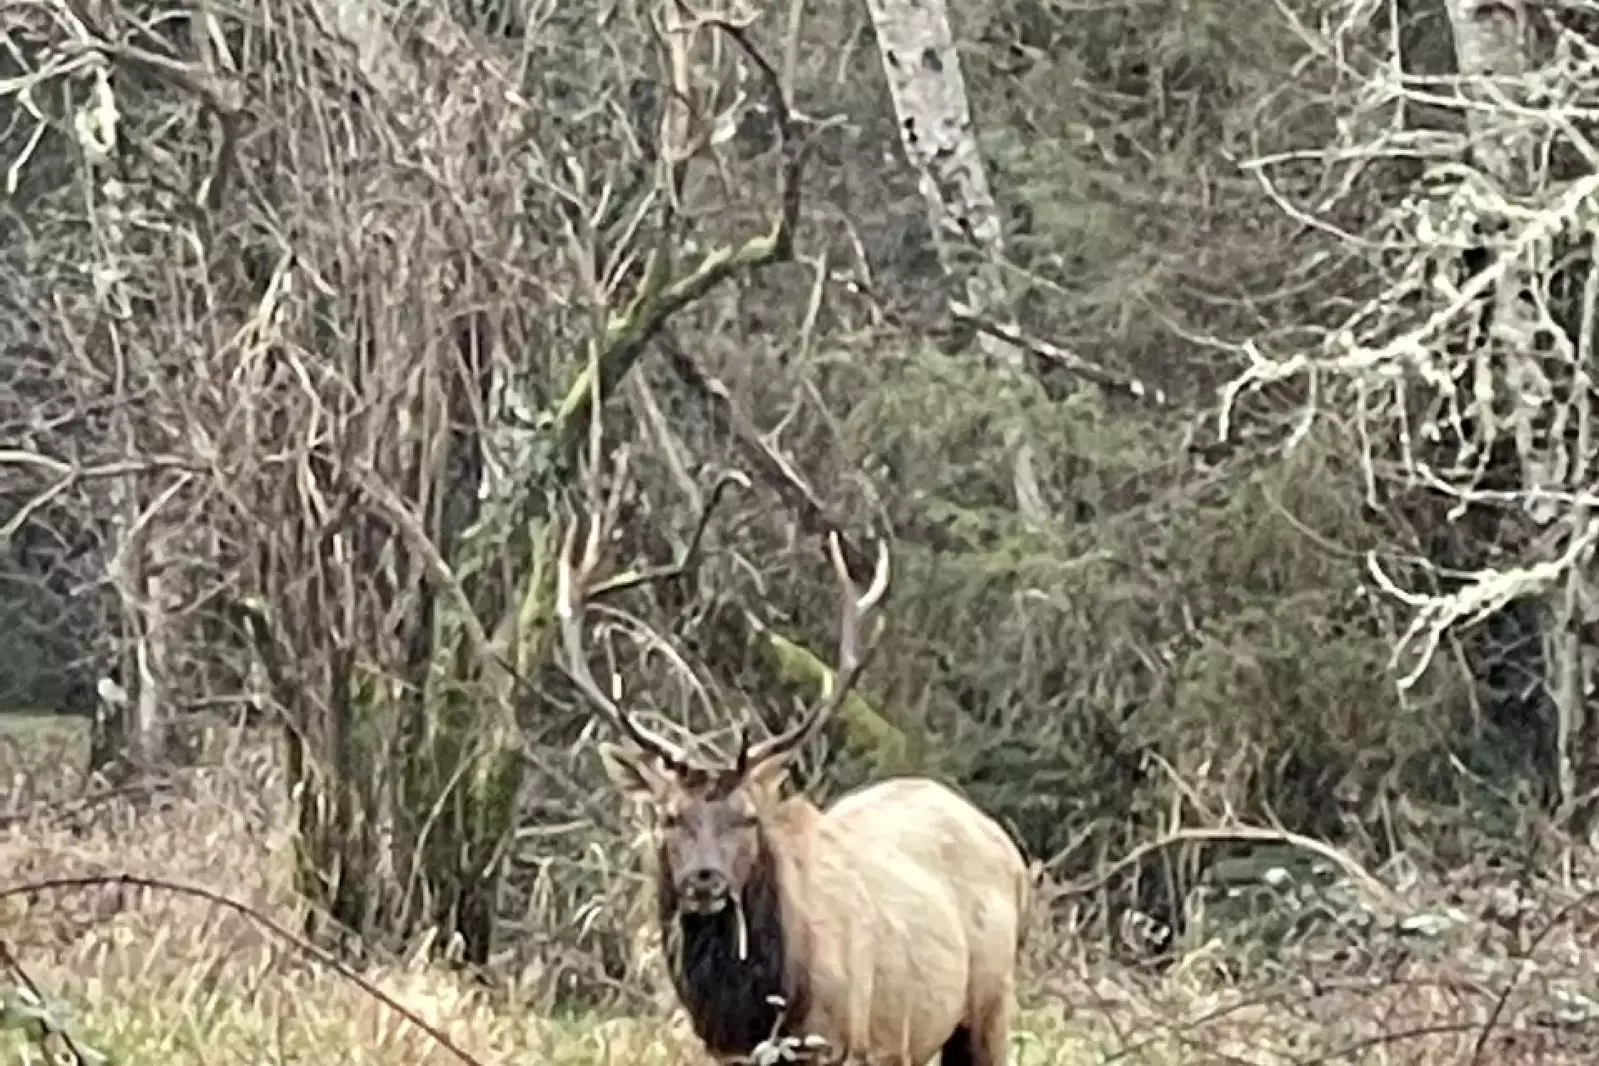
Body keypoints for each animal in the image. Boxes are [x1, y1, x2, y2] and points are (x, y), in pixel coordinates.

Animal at [556, 514, 1034, 1066]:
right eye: (668, 816)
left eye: (748, 817)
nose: (704, 880)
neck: (753, 1011)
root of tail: (1011, 853)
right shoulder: (723, 1053)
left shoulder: (836, 1040)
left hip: (990, 1002)